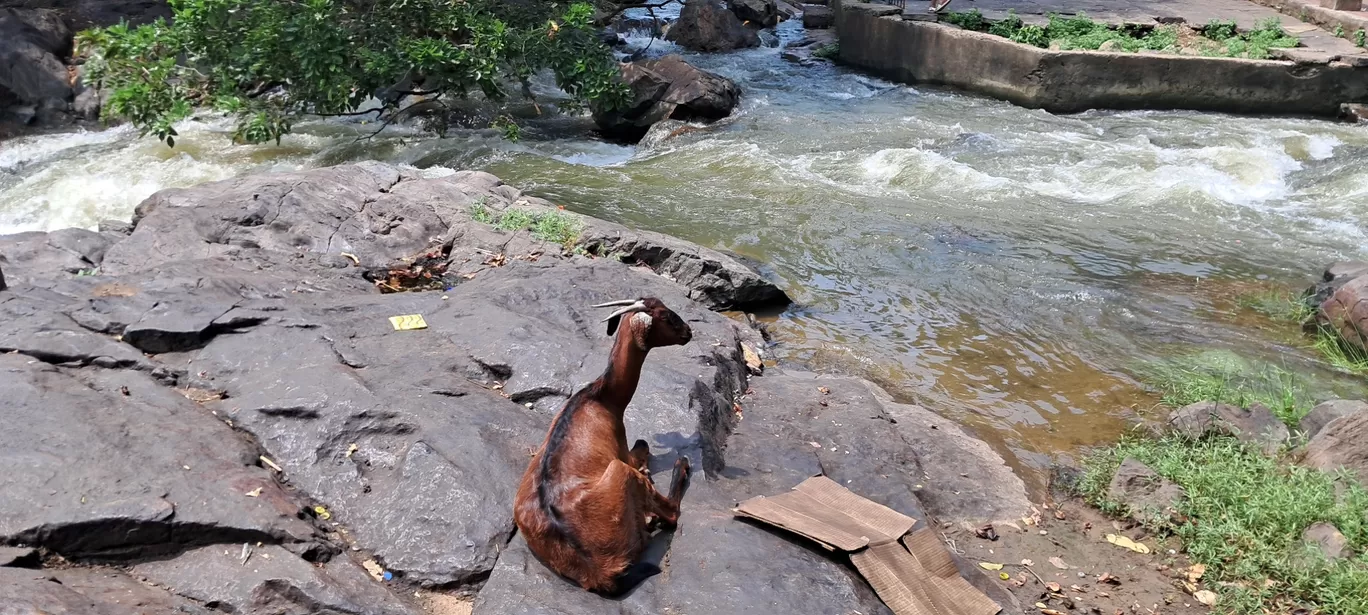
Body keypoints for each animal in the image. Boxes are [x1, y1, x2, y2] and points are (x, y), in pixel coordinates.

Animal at [517, 297, 700, 595]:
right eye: (665, 316)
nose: (688, 332)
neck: (601, 396)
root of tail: (598, 572)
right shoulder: (622, 450)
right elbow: (642, 446)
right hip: (620, 472)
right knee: (671, 514)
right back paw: (679, 467)